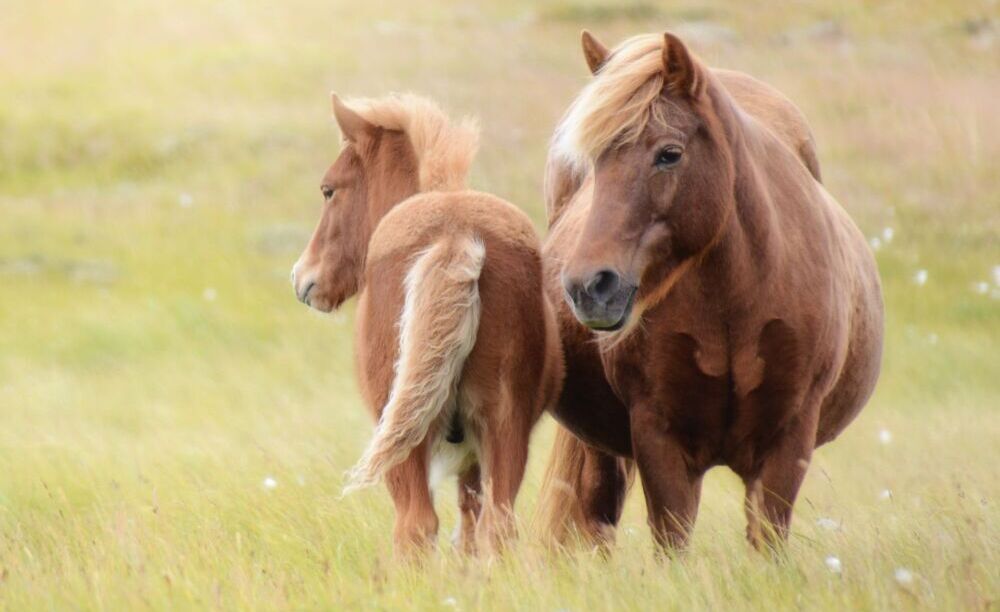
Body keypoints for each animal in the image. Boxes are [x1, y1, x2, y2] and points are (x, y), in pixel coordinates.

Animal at [292, 93, 568, 556]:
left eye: (329, 189)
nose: (303, 278)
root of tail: (455, 234)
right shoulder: (474, 454)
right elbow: (471, 526)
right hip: (504, 425)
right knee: (496, 525)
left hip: (404, 440)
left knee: (415, 526)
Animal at [536, 31, 880, 552]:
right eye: (593, 162)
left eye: (669, 153)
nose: (588, 286)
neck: (734, 302)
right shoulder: (660, 439)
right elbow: (671, 542)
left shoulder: (787, 441)